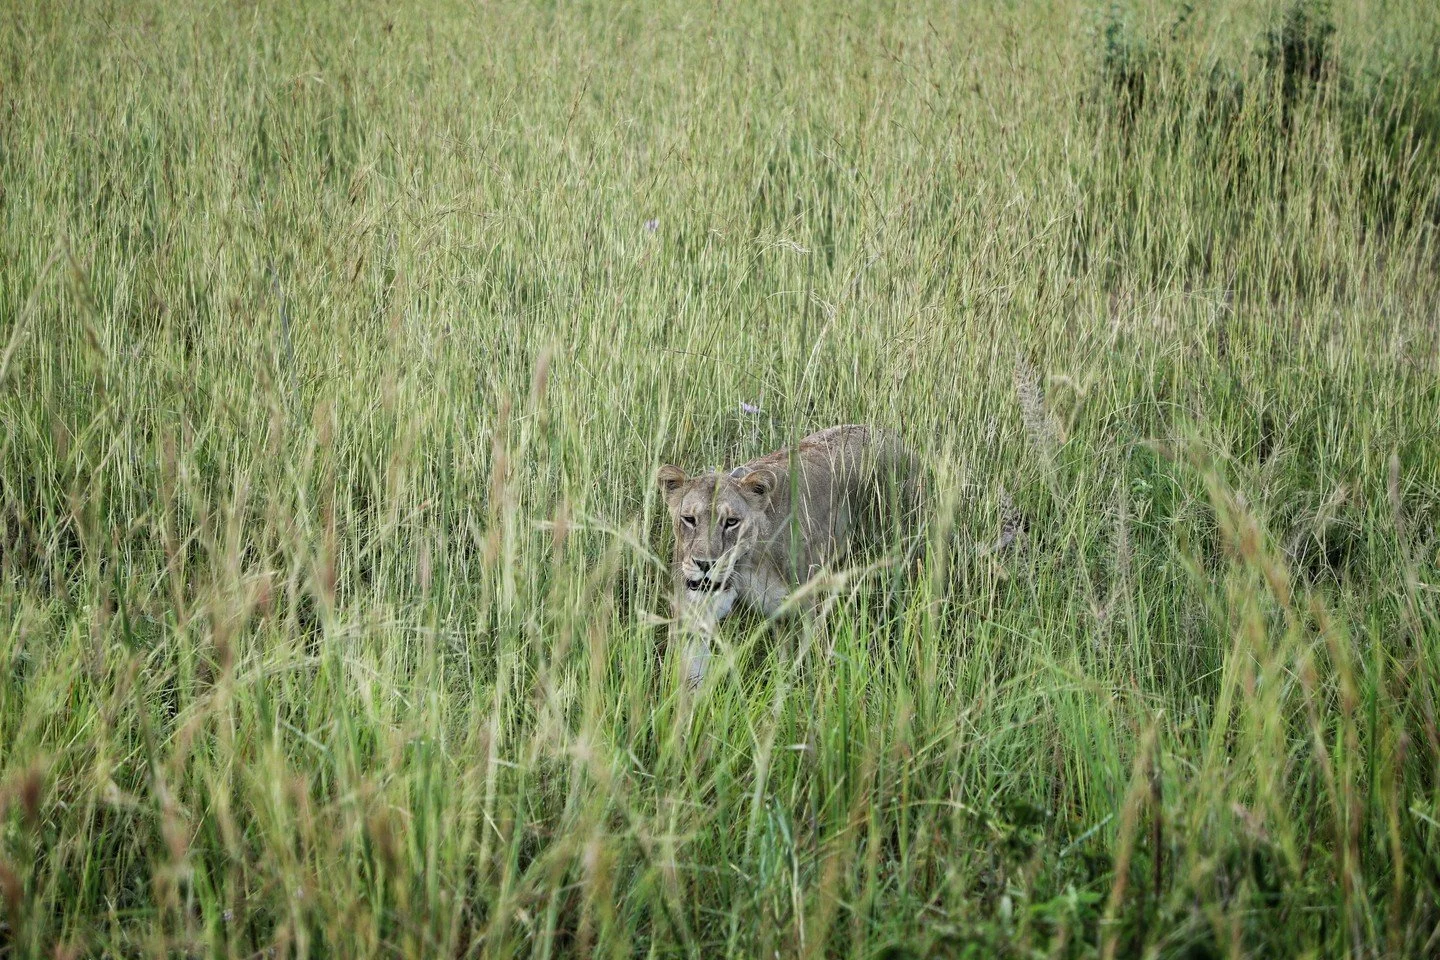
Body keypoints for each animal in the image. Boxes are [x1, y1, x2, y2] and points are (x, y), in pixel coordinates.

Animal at [656, 424, 924, 685]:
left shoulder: (806, 606)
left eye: (732, 522)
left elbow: (806, 664)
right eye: (689, 519)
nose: (705, 564)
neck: (744, 566)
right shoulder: (693, 615)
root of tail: (888, 433)